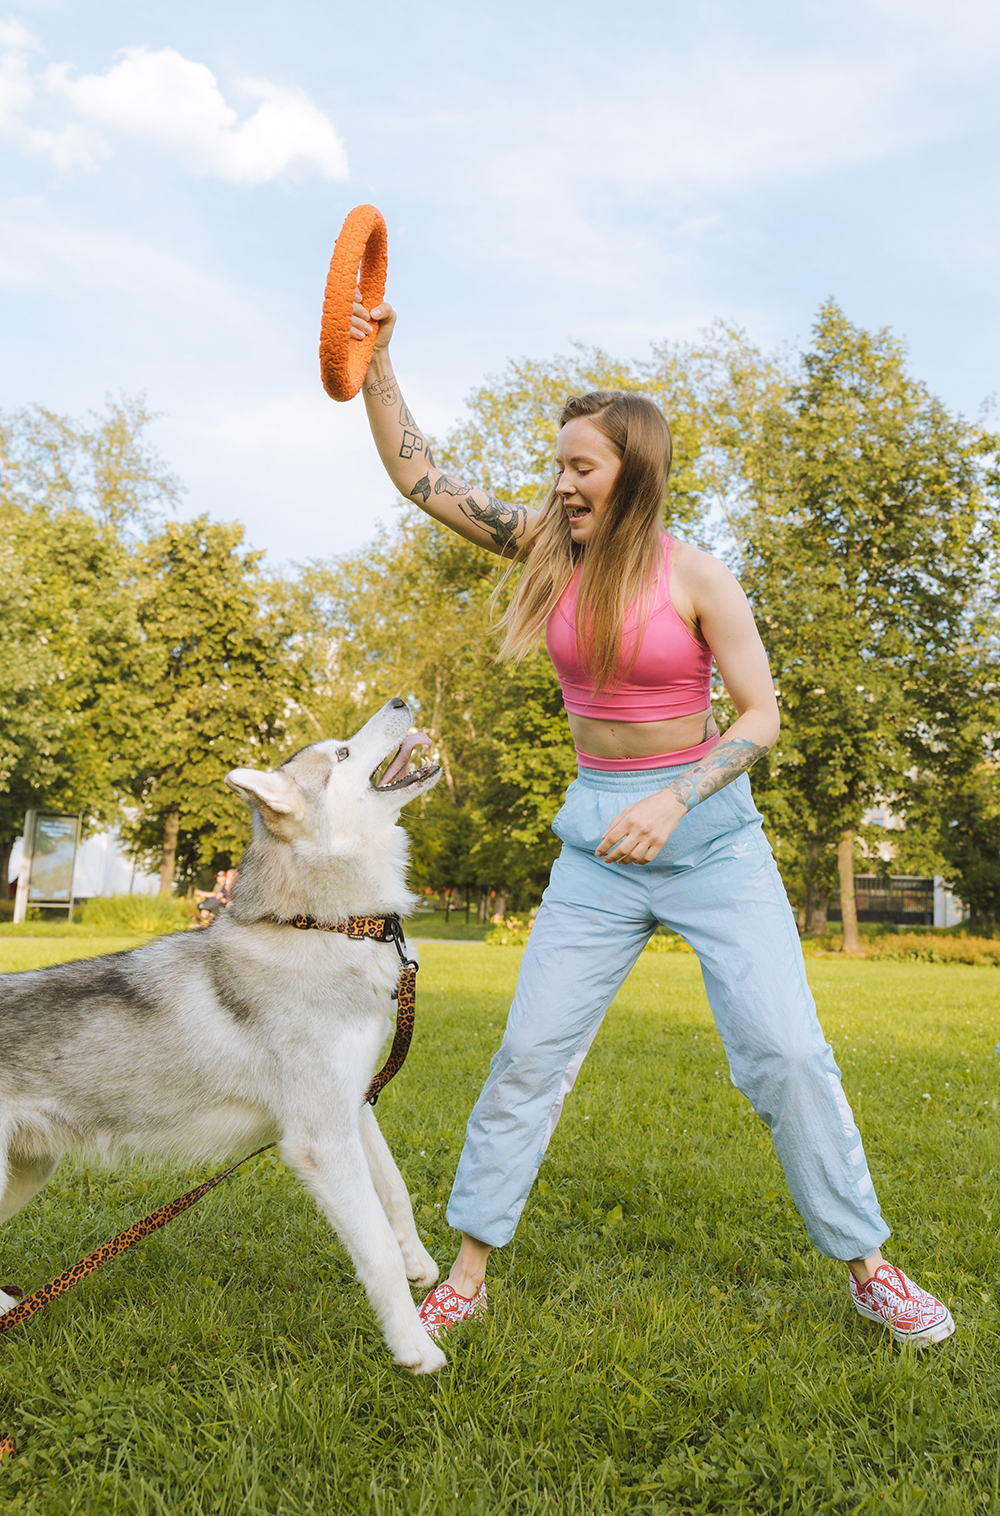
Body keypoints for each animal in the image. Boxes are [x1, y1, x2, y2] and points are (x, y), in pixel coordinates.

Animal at [0, 697, 445, 1376]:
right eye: (342, 753)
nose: (398, 701)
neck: (322, 925)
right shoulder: (320, 1138)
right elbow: (376, 1250)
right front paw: (414, 1346)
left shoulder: (351, 1104)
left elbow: (395, 1190)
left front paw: (419, 1260)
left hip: (26, 1169)